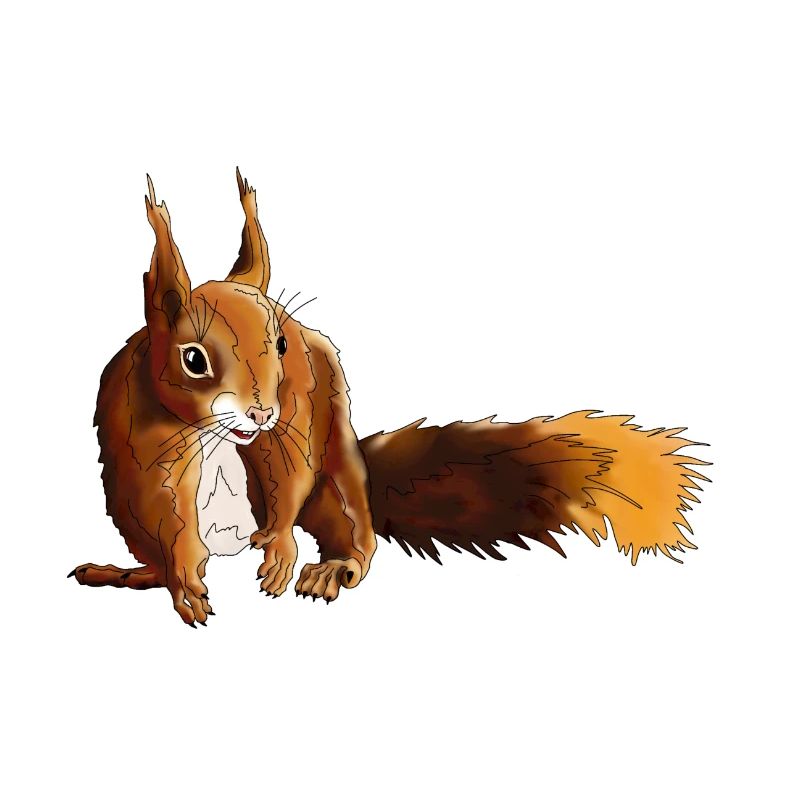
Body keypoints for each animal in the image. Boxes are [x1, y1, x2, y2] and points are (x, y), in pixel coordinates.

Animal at [69, 169, 710, 626]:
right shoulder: (150, 455)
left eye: (282, 342)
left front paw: (279, 549)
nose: (262, 410)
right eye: (193, 360)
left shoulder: (294, 425)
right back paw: (134, 574)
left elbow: (288, 481)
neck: (222, 433)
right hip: (127, 511)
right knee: (159, 552)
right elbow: (170, 514)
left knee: (353, 526)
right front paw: (185, 584)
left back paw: (333, 568)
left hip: (338, 470)